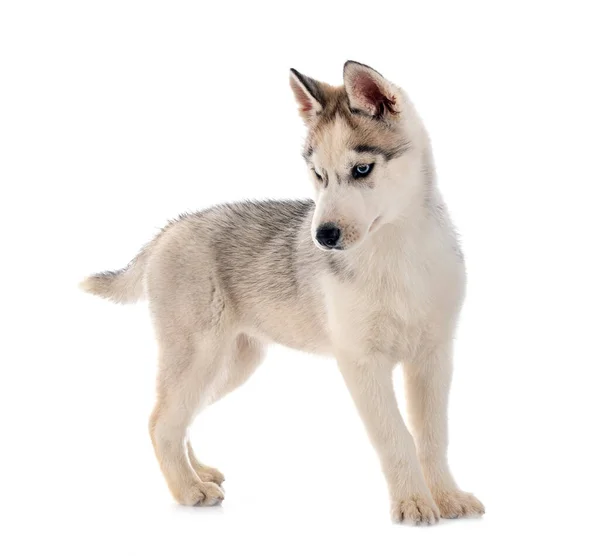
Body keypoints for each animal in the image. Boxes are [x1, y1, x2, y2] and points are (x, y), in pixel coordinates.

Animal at [81, 62, 482, 524]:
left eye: (362, 170)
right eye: (318, 175)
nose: (322, 236)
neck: (397, 254)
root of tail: (170, 228)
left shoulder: (433, 358)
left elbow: (433, 436)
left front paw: (447, 497)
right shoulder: (363, 363)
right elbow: (396, 438)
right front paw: (413, 502)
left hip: (232, 364)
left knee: (175, 417)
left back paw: (198, 473)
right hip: (199, 356)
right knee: (160, 422)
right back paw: (188, 490)